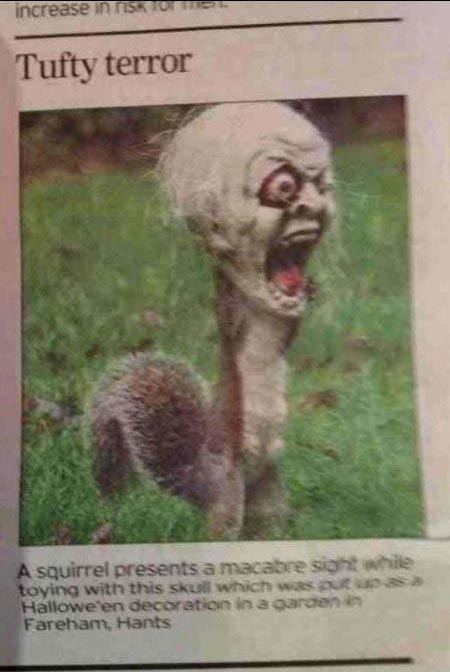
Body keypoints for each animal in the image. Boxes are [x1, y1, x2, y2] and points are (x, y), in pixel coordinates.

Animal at [89, 102, 334, 540]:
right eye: (284, 187)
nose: (310, 207)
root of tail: (202, 482)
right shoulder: (231, 305)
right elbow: (232, 325)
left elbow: (288, 333)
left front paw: (310, 292)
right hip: (230, 495)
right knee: (224, 525)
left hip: (269, 485)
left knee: (267, 516)